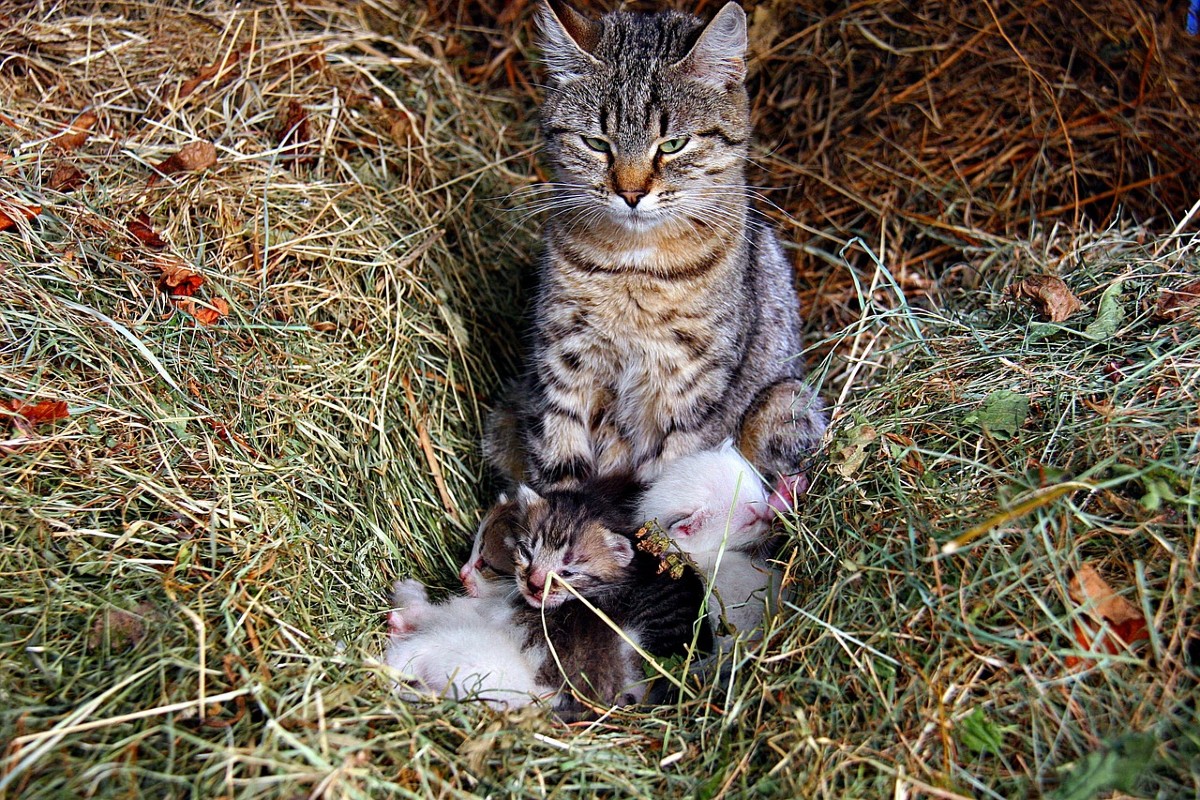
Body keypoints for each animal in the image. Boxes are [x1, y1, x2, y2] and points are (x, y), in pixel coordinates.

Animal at [487, 1, 825, 494]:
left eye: (673, 144)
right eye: (596, 143)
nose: (630, 193)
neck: (634, 267)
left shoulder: (689, 384)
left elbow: (669, 471)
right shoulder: (563, 363)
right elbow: (559, 464)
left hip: (787, 400)